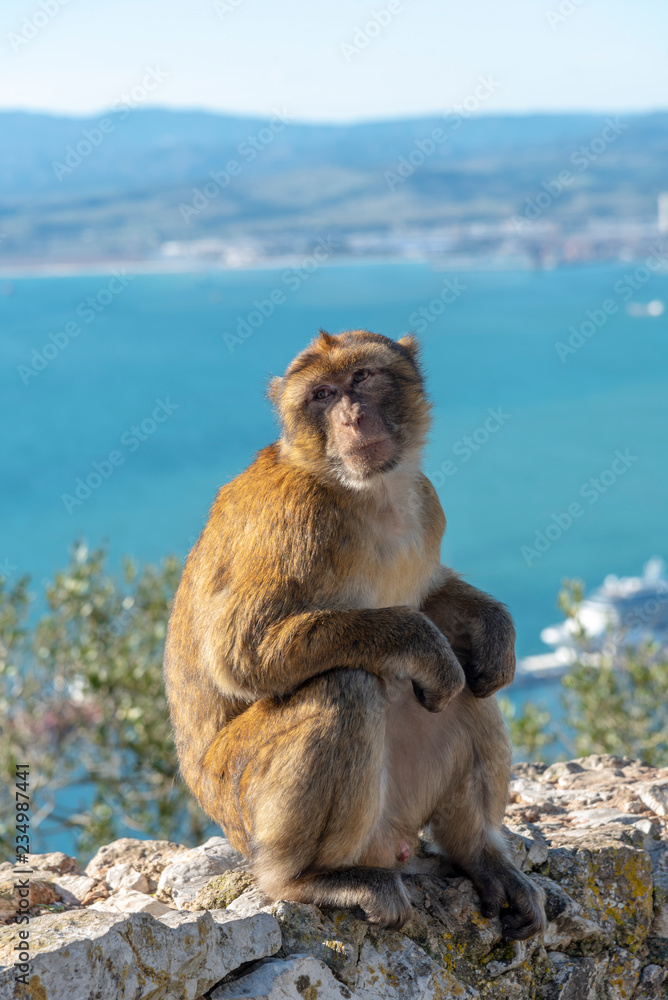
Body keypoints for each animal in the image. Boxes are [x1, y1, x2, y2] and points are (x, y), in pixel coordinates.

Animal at [163, 328, 546, 939]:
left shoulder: (427, 503)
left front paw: (494, 631)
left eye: (361, 378)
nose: (351, 416)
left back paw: (480, 855)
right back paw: (309, 879)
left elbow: (433, 599)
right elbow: (241, 651)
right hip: (244, 800)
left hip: (400, 812)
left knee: (471, 689)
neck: (367, 492)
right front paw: (423, 646)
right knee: (347, 685)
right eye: (321, 394)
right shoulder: (296, 520)